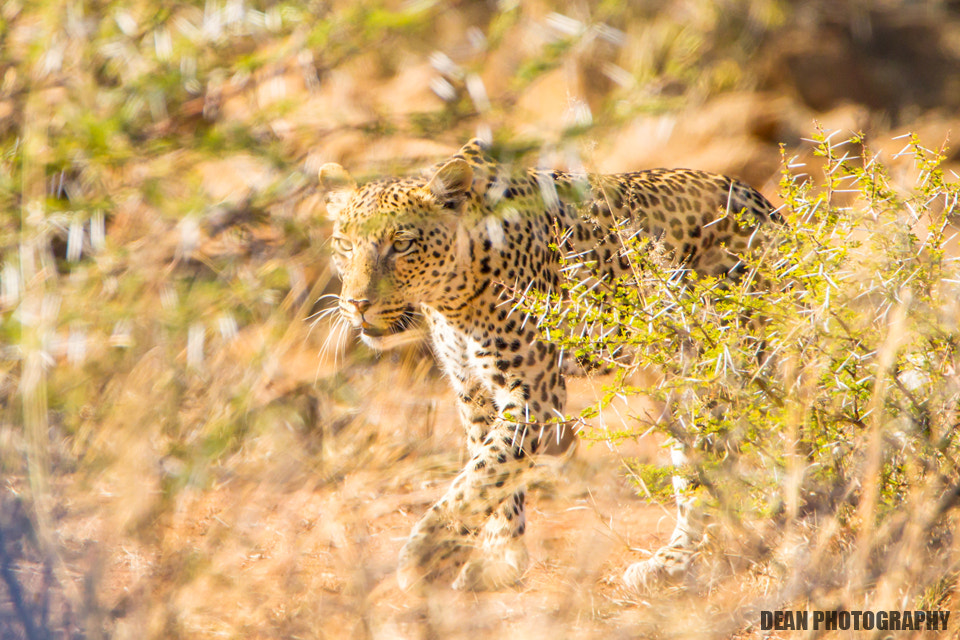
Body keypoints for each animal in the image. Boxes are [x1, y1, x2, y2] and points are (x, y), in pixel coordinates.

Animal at [320, 138, 777, 592]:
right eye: (344, 244)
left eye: (402, 245)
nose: (358, 304)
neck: (454, 297)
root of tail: (763, 204)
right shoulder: (474, 391)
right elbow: (492, 476)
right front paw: (500, 559)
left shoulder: (532, 389)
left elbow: (481, 476)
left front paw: (426, 553)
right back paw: (671, 562)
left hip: (724, 365)